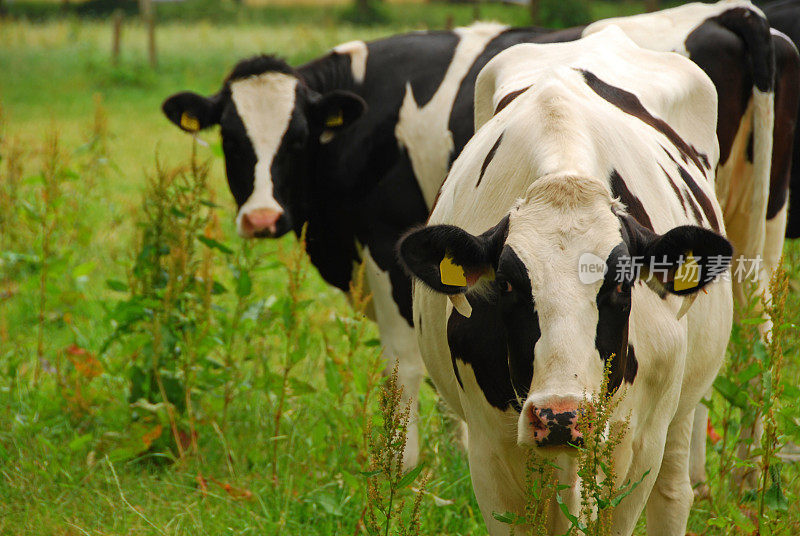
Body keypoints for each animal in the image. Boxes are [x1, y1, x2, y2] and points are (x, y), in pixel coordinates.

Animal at [162, 0, 792, 472]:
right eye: (232, 139)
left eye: (295, 138)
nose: (261, 217)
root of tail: (733, 11)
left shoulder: (388, 244)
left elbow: (403, 360)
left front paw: (404, 462)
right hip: (755, 231)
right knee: (751, 335)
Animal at [396, 26, 736, 536]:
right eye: (507, 285)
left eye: (621, 284)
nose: (559, 416)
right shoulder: (489, 450)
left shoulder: (636, 446)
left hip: (679, 409)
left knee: (673, 494)